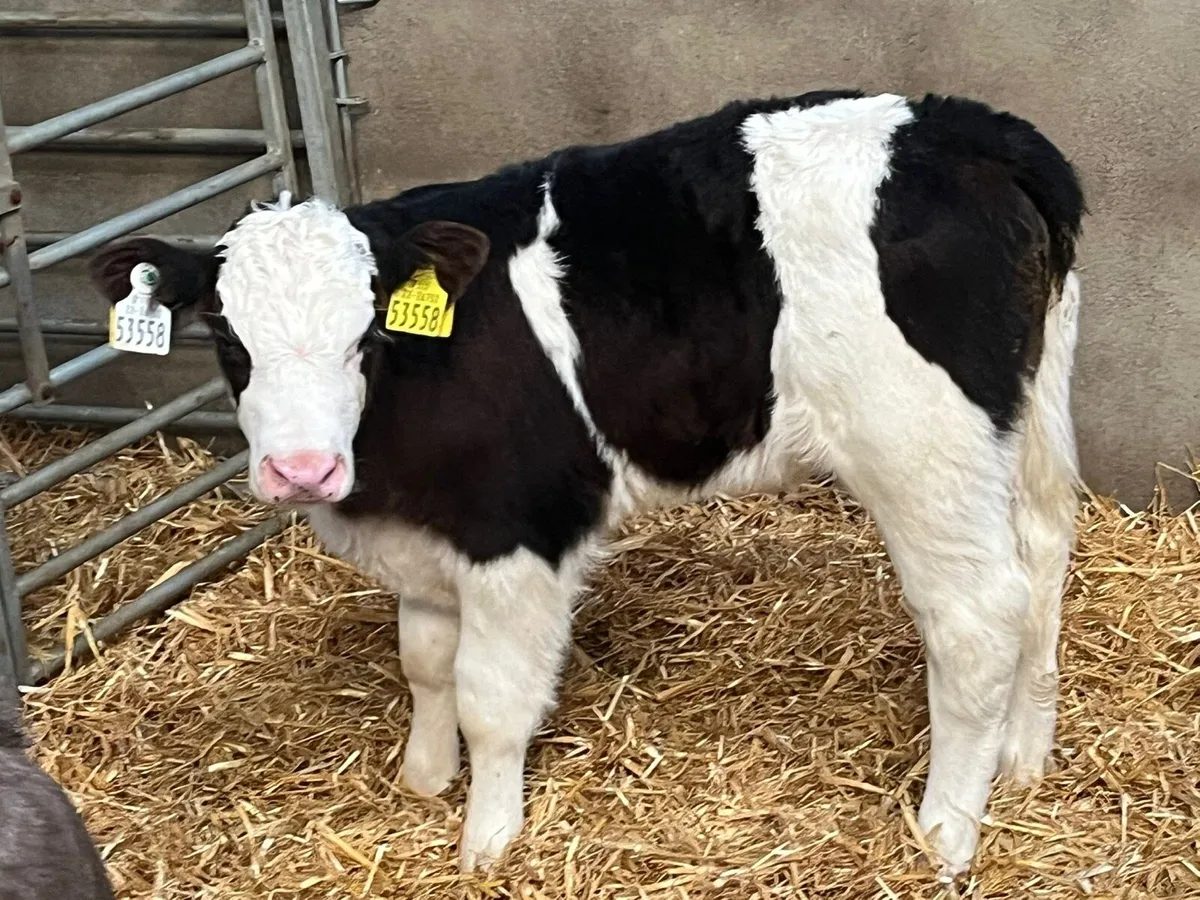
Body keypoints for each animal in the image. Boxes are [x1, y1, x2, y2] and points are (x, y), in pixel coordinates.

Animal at [90, 90, 1084, 879]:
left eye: (366, 332)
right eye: (225, 333)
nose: (303, 469)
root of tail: (970, 127)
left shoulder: (519, 527)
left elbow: (490, 698)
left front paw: (486, 839)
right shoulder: (431, 536)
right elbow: (425, 664)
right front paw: (422, 781)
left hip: (922, 448)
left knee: (977, 617)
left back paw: (944, 832)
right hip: (1028, 417)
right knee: (1042, 558)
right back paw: (1023, 759)